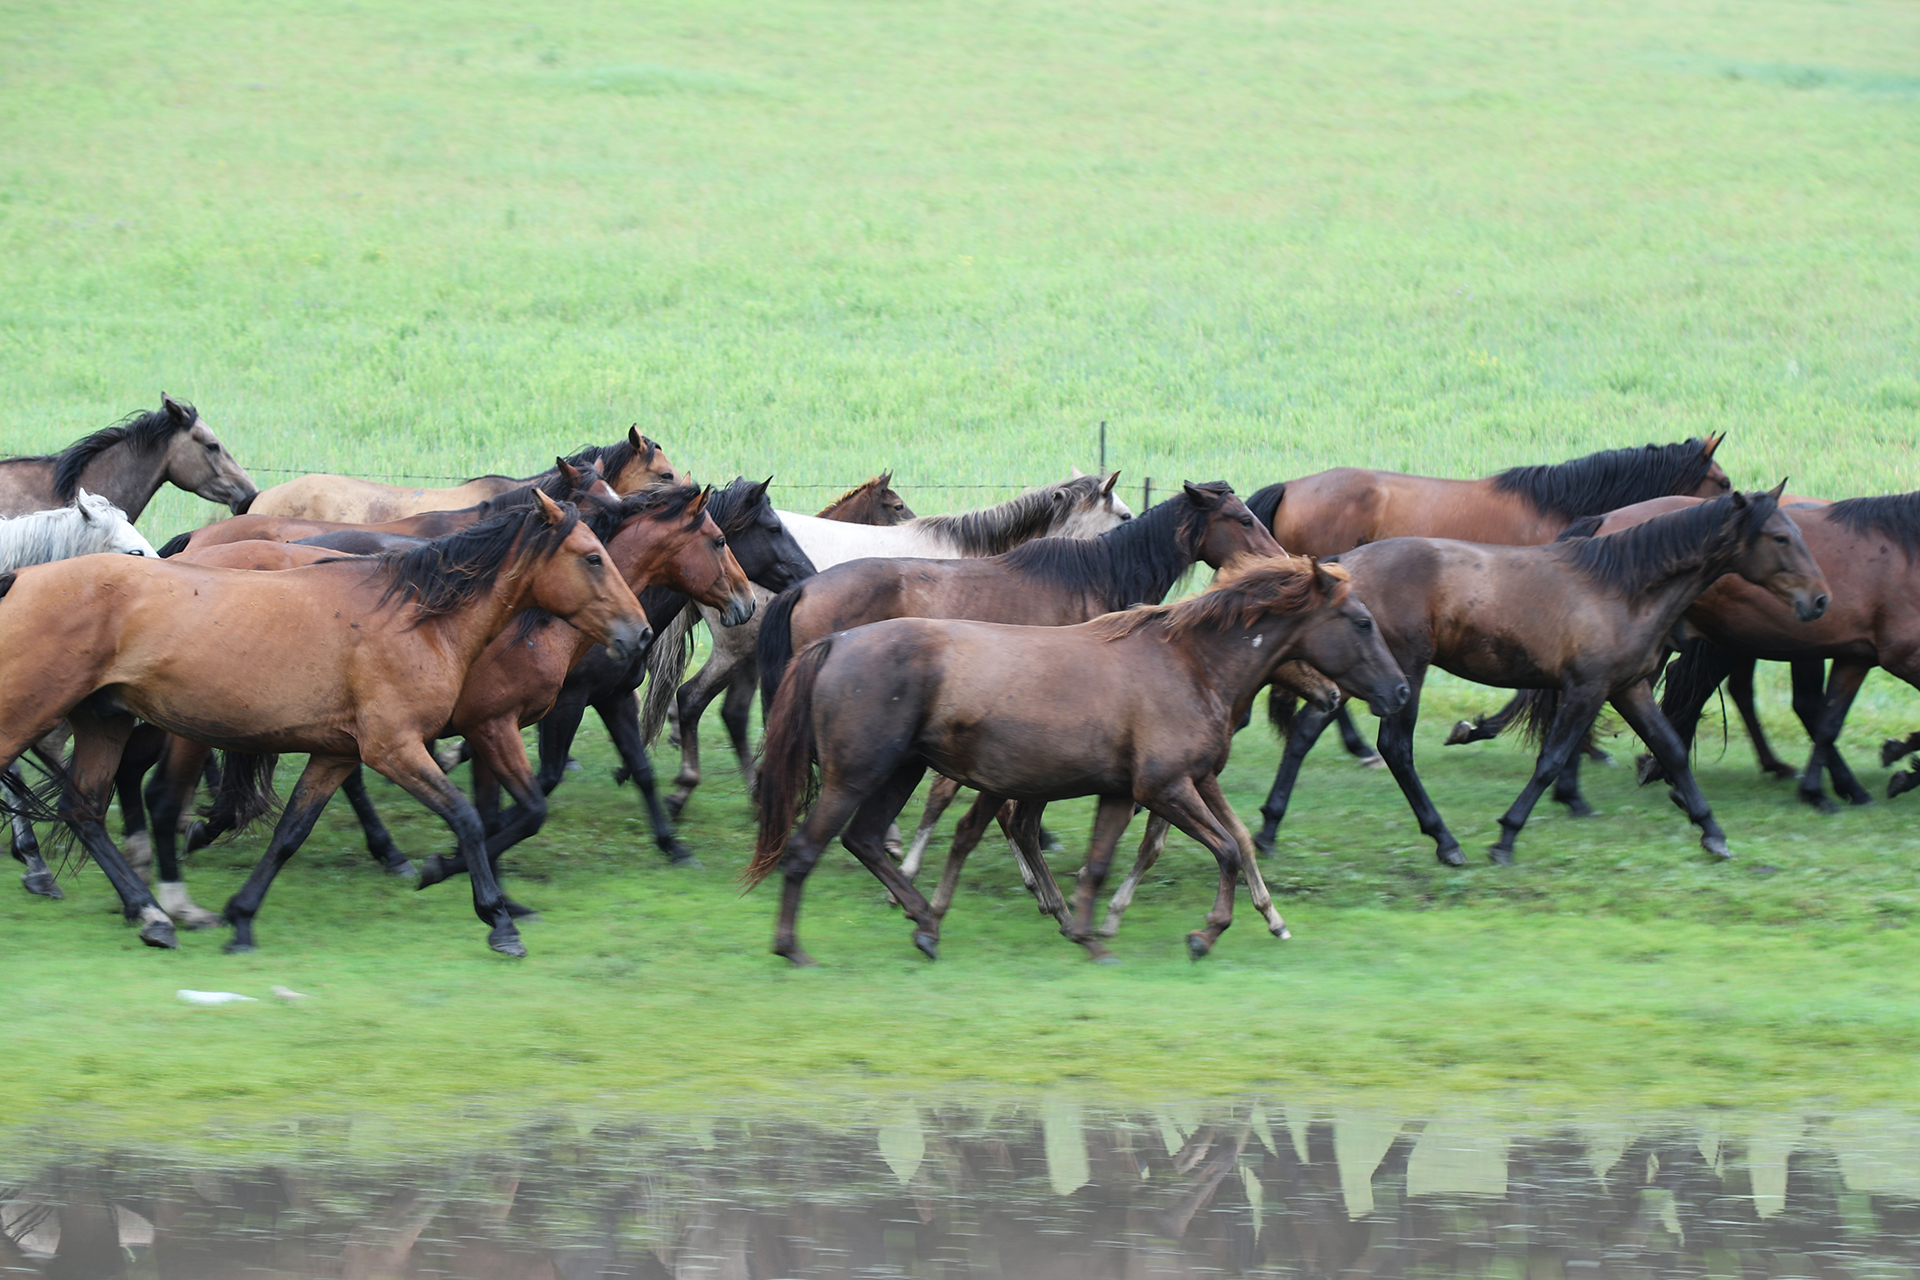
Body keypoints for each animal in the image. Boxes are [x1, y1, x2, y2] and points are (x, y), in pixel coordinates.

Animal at [0, 493, 649, 955]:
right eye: (593, 557)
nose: (639, 633)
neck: (418, 618)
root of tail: (21, 579)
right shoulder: (396, 748)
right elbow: (467, 817)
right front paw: (495, 918)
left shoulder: (338, 754)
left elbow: (291, 832)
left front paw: (241, 919)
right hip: (33, 714)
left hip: (104, 722)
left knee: (84, 809)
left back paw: (153, 915)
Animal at [744, 556, 1410, 966]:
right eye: (1361, 621)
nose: (1400, 692)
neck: (1188, 664)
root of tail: (834, 642)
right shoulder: (1166, 787)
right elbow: (1224, 848)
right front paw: (1203, 935)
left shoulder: (1123, 792)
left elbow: (1098, 865)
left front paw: (1091, 938)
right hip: (856, 775)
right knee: (807, 850)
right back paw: (794, 948)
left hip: (901, 771)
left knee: (866, 840)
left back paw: (927, 924)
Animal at [1225, 487, 1826, 878]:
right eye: (1780, 537)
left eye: (1798, 534)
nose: (1819, 601)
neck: (1623, 585)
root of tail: (1344, 565)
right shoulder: (1585, 689)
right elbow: (1553, 759)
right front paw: (1506, 838)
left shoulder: (1628, 687)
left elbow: (1673, 750)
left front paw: (1713, 833)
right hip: (1403, 675)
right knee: (1395, 747)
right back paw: (1445, 841)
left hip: (1364, 677)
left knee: (1306, 732)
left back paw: (1270, 828)